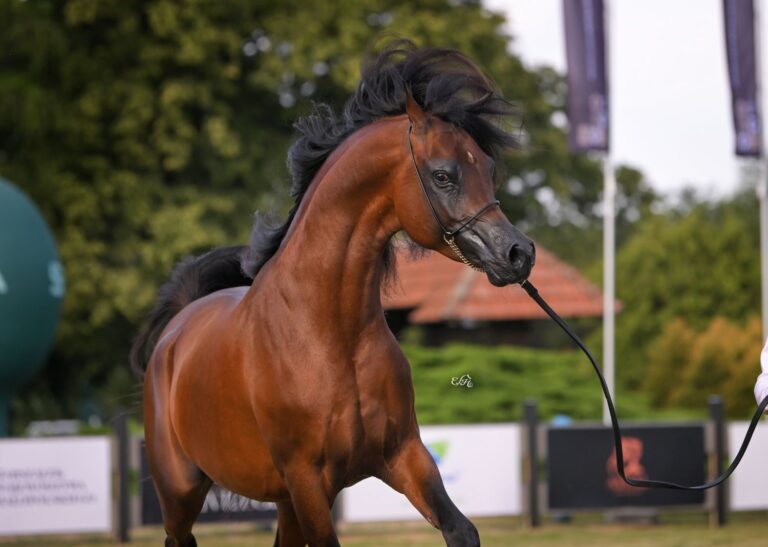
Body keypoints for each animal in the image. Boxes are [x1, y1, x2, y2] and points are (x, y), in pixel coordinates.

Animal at [130, 41, 535, 547]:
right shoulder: (306, 478)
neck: (328, 331)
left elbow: (461, 529)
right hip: (181, 492)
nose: (520, 254)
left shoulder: (403, 456)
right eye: (443, 175)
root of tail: (177, 330)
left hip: (282, 502)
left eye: (488, 167)